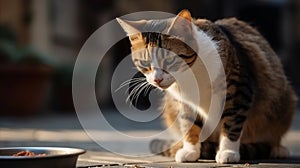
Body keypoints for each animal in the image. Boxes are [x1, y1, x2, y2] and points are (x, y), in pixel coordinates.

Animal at [116, 9, 296, 163]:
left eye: (169, 60)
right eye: (145, 63)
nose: (157, 80)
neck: (189, 75)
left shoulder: (239, 88)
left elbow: (232, 121)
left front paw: (228, 152)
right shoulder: (185, 102)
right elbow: (189, 124)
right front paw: (190, 150)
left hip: (285, 102)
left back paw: (277, 149)